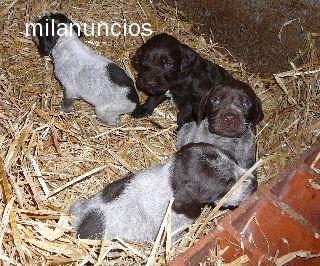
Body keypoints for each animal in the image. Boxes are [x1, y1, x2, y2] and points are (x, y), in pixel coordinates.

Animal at [70, 142, 255, 242]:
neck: (170, 179)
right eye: (228, 183)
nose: (255, 183)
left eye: (234, 160)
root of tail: (78, 225)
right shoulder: (174, 231)